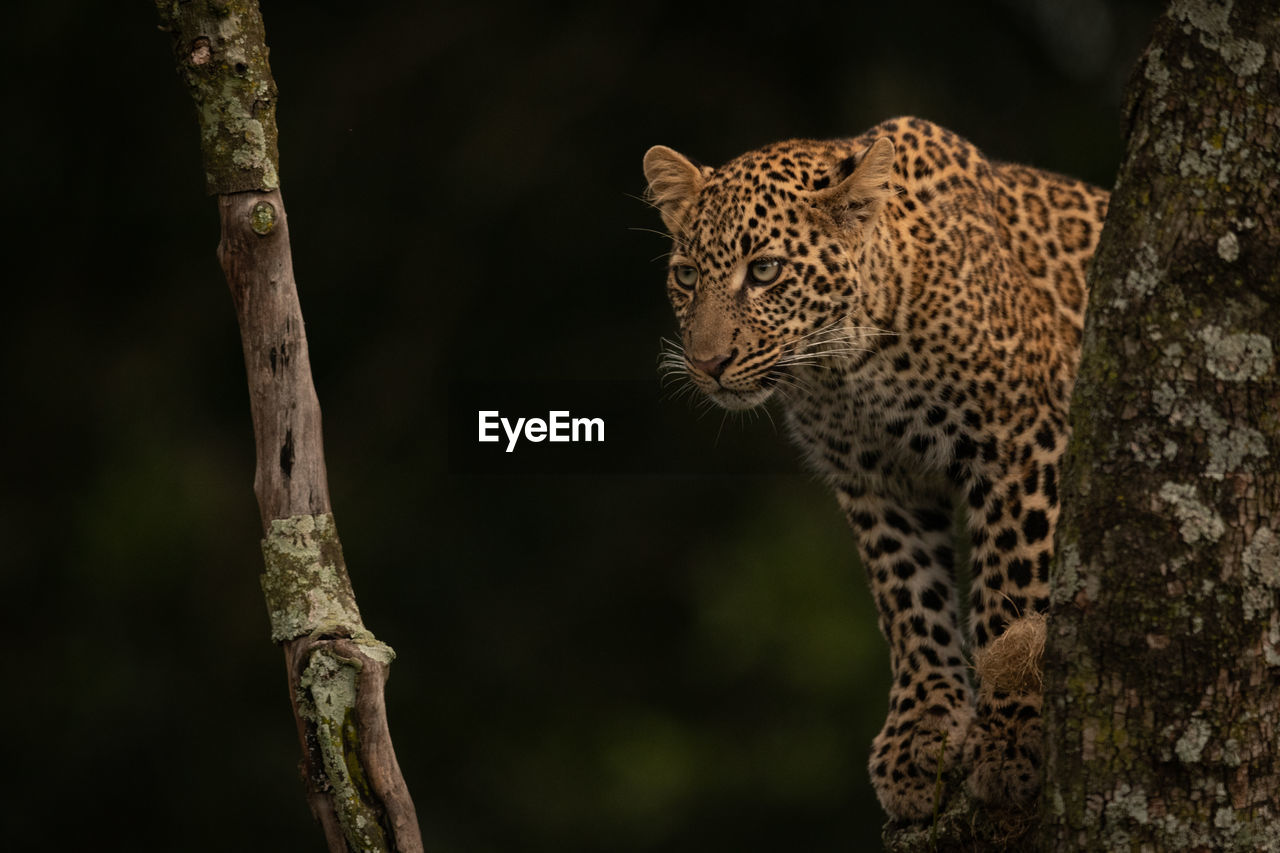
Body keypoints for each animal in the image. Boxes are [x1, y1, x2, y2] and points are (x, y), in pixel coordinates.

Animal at [640, 116, 1111, 819]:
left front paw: (1012, 734)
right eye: (688, 275)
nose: (706, 363)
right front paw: (921, 734)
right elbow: (908, 599)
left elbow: (1012, 592)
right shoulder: (876, 481)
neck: (844, 370)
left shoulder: (1023, 442)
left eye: (766, 270)